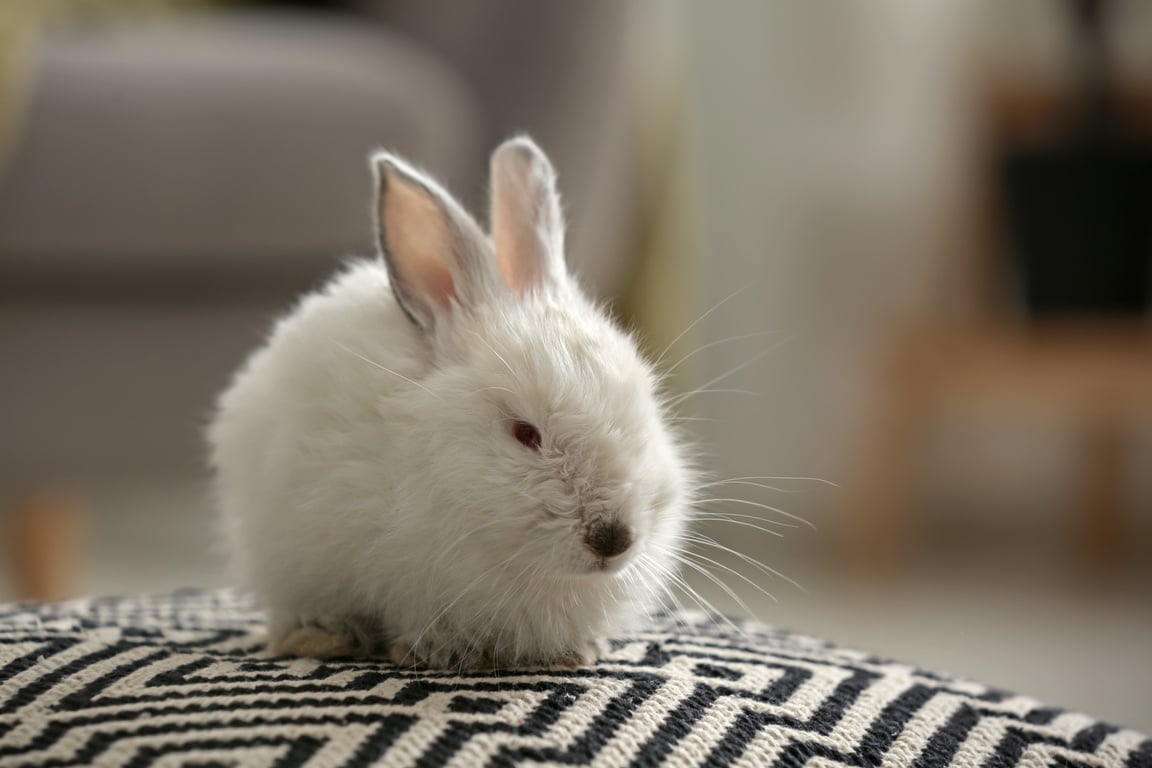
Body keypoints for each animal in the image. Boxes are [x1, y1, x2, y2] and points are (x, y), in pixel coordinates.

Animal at [206, 136, 686, 667]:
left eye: (644, 414)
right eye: (525, 434)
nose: (614, 540)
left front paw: (580, 651)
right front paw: (445, 649)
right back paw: (325, 635)